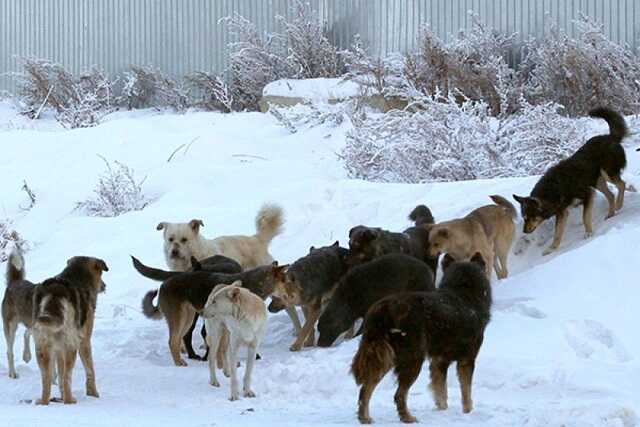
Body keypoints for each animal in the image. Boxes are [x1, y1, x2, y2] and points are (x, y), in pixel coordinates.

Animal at [31, 256, 107, 406]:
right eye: (101, 274)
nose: (104, 286)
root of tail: (55, 293)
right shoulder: (84, 341)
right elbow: (90, 370)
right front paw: (93, 393)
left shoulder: (58, 349)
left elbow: (60, 376)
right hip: (71, 347)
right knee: (67, 377)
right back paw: (69, 400)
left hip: (42, 348)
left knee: (47, 380)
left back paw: (44, 402)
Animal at [142, 262, 292, 366]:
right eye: (284, 281)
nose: (291, 295)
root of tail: (163, 285)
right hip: (180, 319)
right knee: (172, 341)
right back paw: (179, 363)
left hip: (188, 319)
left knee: (179, 339)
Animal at [352, 254, 492, 424]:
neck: (464, 294)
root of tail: (384, 309)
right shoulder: (467, 360)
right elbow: (466, 392)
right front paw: (468, 412)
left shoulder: (439, 361)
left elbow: (441, 392)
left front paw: (442, 410)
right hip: (413, 358)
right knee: (399, 394)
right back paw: (407, 418)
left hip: (384, 355)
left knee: (366, 388)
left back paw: (364, 418)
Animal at [512, 107, 628, 256]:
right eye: (524, 217)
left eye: (530, 217)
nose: (525, 231)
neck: (553, 190)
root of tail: (610, 136)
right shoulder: (562, 212)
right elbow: (557, 233)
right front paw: (552, 248)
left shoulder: (587, 195)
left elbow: (584, 217)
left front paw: (588, 233)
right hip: (596, 181)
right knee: (611, 194)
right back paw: (610, 213)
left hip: (607, 174)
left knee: (622, 185)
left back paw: (619, 205)